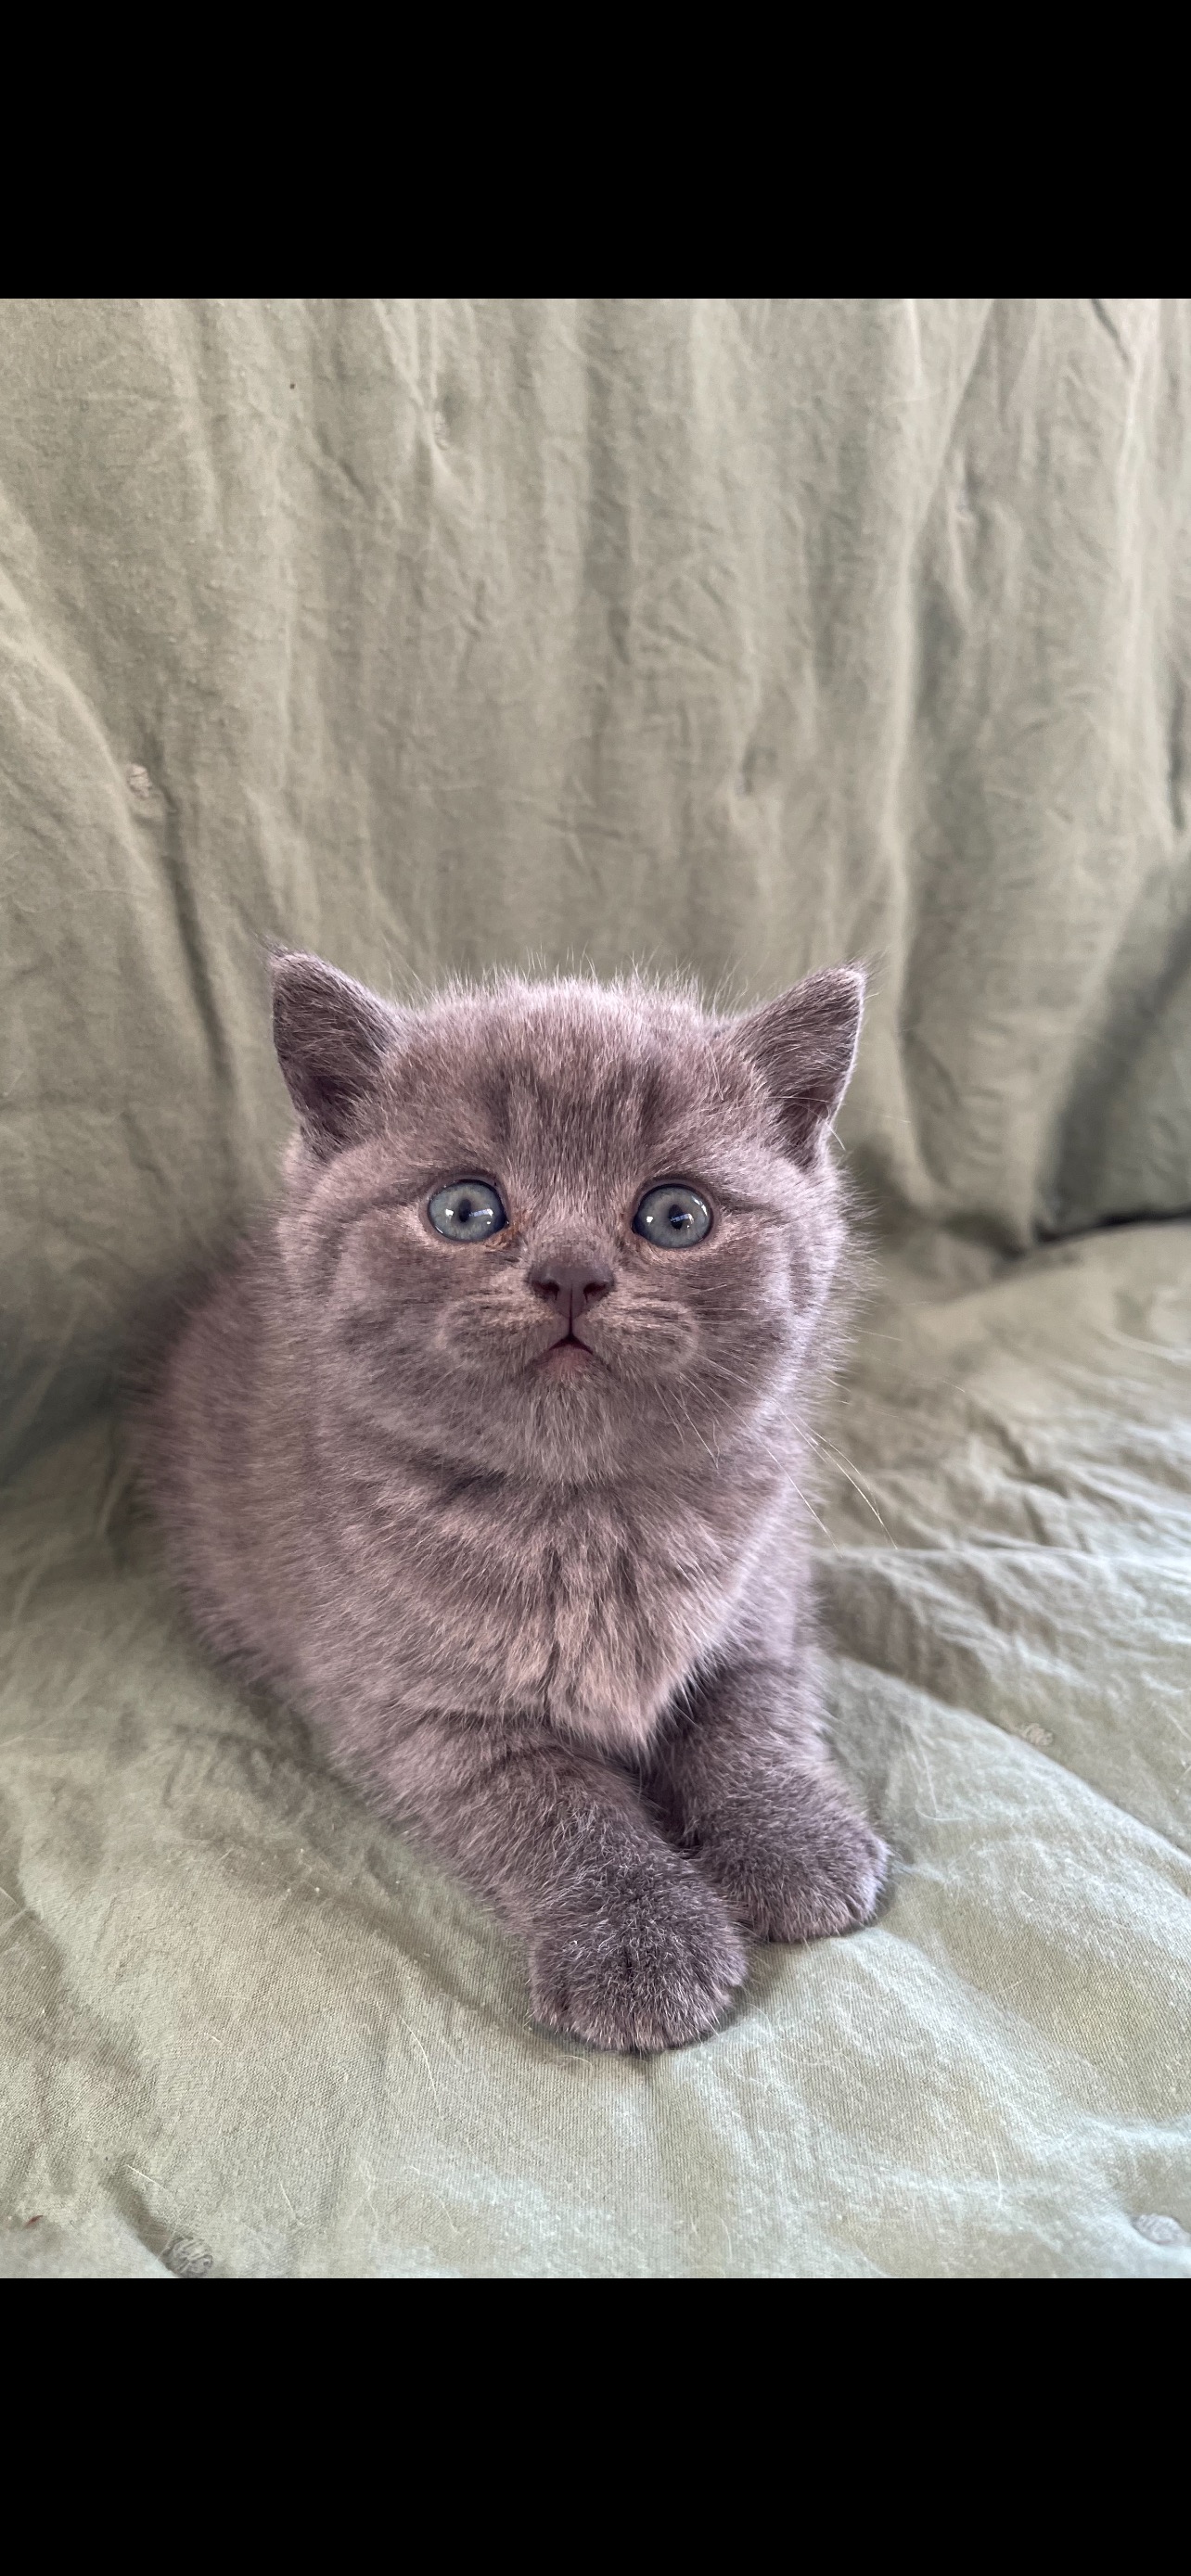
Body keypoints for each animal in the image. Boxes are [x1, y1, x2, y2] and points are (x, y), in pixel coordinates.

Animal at [144, 952, 887, 2050]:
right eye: (465, 1210)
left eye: (676, 1216)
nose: (571, 1272)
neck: (589, 1521)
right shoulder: (418, 1711)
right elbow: (556, 1805)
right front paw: (639, 1941)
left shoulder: (767, 1605)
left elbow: (755, 1723)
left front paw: (799, 1842)